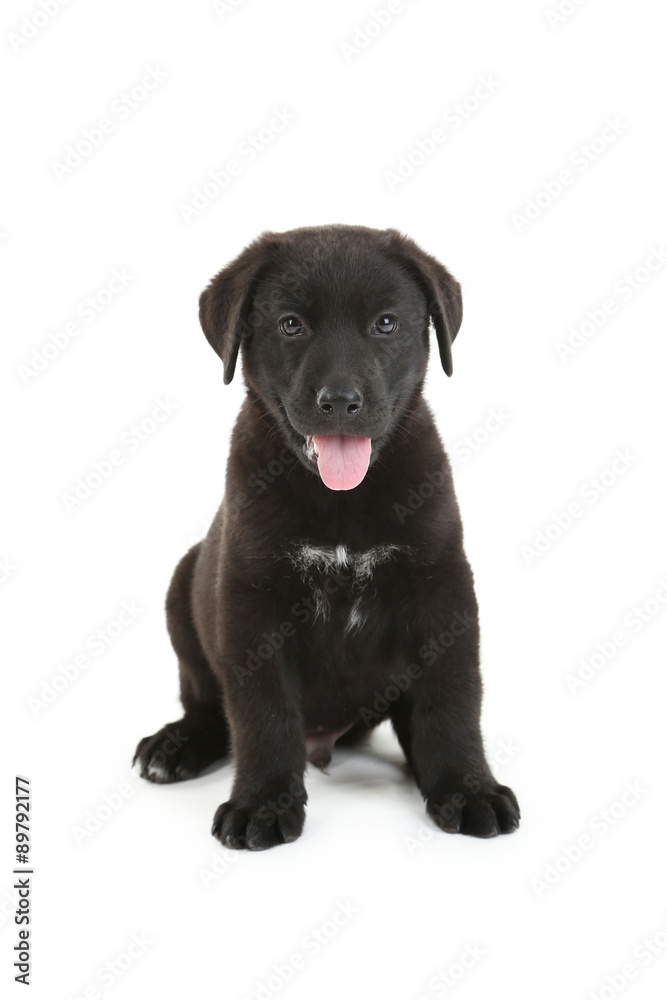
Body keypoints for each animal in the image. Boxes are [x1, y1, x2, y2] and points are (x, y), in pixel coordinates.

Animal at [133, 229, 520, 852]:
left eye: (385, 324)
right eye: (291, 325)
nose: (340, 401)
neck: (341, 500)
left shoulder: (443, 591)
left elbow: (453, 699)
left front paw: (467, 789)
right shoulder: (251, 602)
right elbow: (262, 713)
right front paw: (262, 803)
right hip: (183, 588)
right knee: (207, 702)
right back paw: (176, 745)